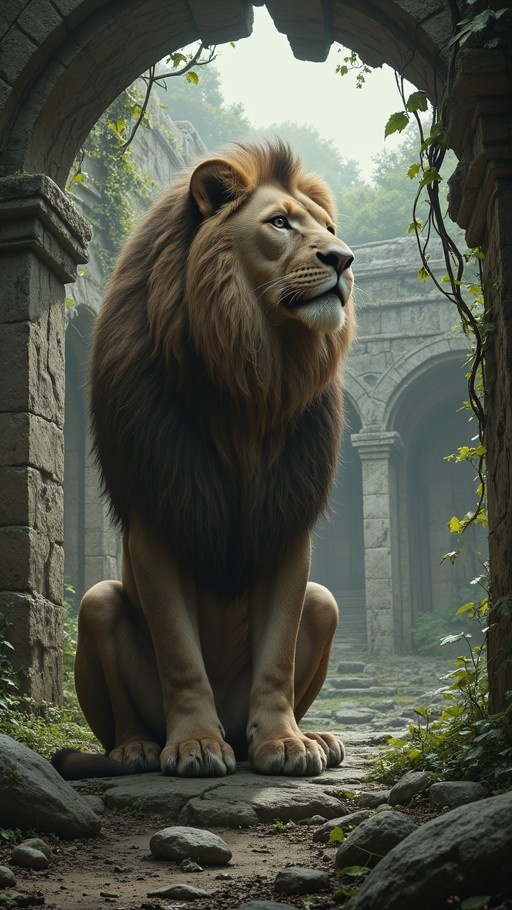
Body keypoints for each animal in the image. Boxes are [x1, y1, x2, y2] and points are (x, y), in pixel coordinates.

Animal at [58, 140, 355, 779]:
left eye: (328, 228)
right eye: (279, 223)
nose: (345, 259)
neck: (250, 376)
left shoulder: (287, 523)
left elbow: (277, 658)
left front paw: (286, 743)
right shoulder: (157, 515)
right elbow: (179, 653)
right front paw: (194, 743)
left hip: (324, 602)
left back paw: (315, 737)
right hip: (97, 603)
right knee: (123, 707)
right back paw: (138, 748)